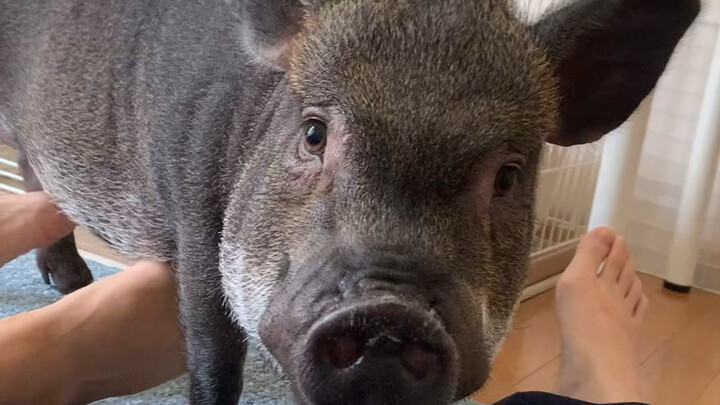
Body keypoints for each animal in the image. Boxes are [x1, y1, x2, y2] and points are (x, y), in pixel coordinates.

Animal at [0, 0, 699, 404]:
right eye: (314, 133)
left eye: (507, 176)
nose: (391, 309)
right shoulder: (198, 242)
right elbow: (215, 360)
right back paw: (72, 284)